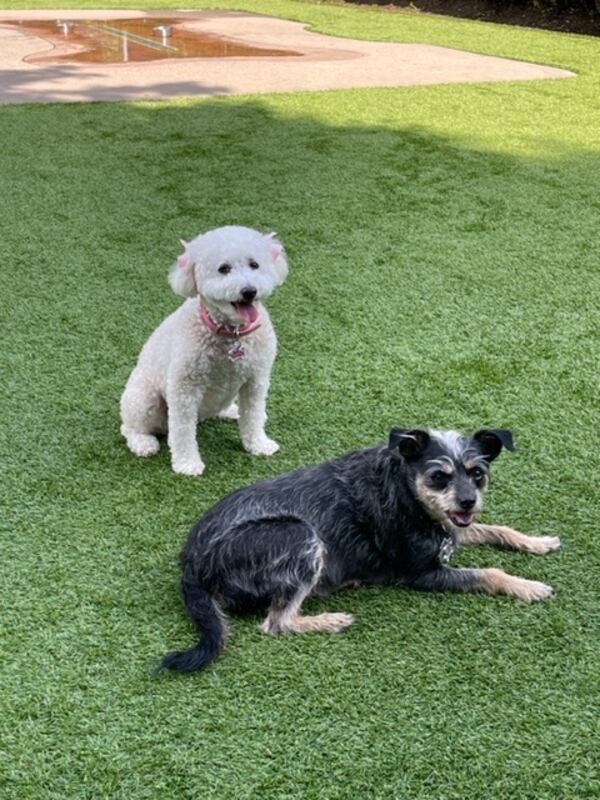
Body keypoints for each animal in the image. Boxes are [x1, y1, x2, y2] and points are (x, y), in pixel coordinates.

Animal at [119, 225, 288, 476]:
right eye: (224, 269)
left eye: (254, 264)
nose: (249, 291)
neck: (232, 334)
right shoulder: (185, 388)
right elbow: (182, 431)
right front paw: (187, 464)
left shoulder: (256, 380)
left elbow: (254, 416)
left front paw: (259, 444)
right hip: (144, 399)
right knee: (129, 428)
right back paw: (144, 443)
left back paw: (230, 411)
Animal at [162, 428, 560, 672]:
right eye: (438, 476)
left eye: (477, 473)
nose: (468, 502)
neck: (405, 489)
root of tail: (191, 562)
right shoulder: (422, 573)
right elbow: (489, 572)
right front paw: (527, 586)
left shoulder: (453, 530)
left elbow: (498, 529)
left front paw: (536, 541)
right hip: (300, 535)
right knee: (277, 622)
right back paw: (330, 619)